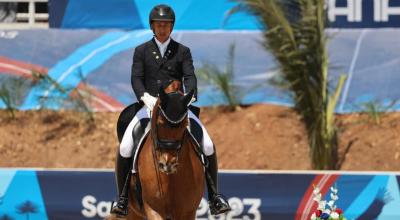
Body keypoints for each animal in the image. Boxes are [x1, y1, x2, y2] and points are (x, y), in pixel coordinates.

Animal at [108, 81, 205, 220]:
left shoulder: (188, 212)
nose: (167, 163)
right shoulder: (153, 210)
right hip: (133, 211)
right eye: (159, 123)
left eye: (185, 124)